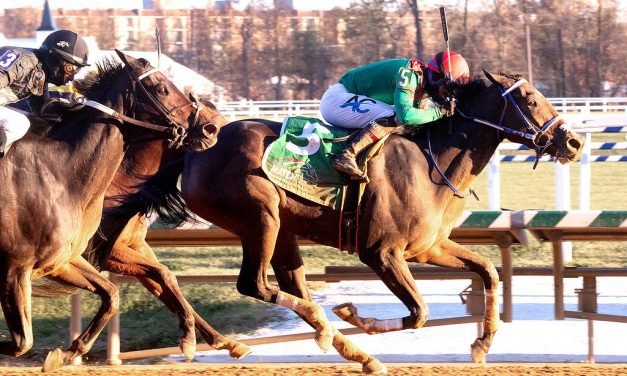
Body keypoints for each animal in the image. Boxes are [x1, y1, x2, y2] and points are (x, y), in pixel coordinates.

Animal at [0, 49, 218, 370]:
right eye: (161, 88)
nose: (210, 129)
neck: (61, 173)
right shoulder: (16, 268)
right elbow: (21, 342)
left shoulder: (62, 261)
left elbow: (118, 292)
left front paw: (69, 352)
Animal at [126, 70, 584, 374]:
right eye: (530, 98)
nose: (574, 142)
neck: (430, 164)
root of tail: (195, 150)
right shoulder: (381, 253)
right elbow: (419, 312)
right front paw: (356, 315)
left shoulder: (428, 247)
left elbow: (488, 270)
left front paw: (483, 342)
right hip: (261, 217)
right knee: (254, 285)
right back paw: (326, 330)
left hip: (284, 229)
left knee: (291, 284)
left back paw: (352, 349)